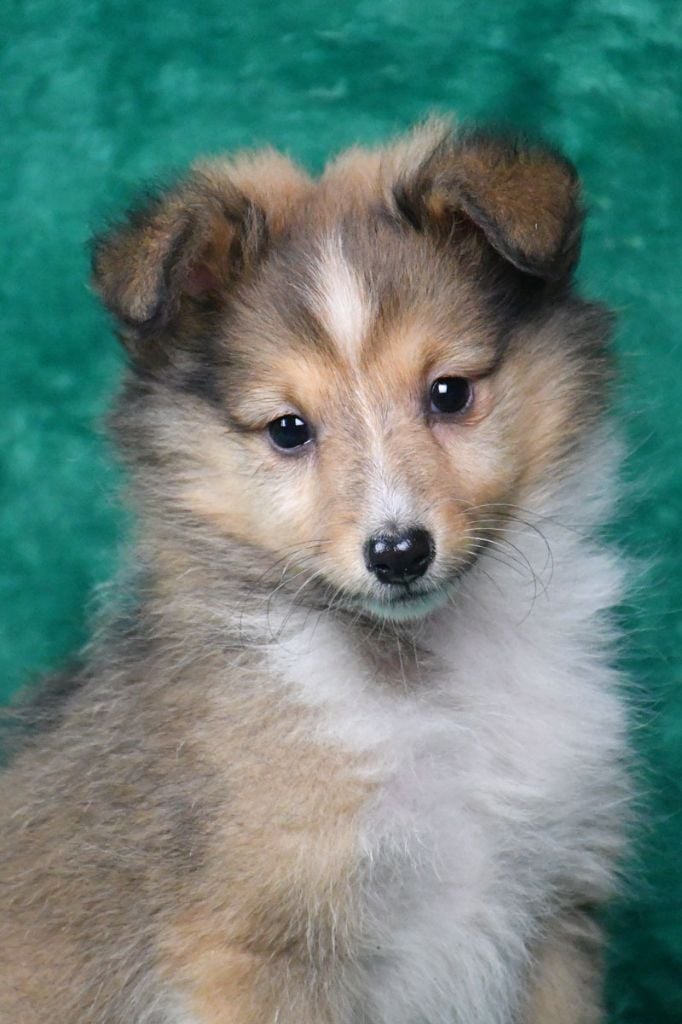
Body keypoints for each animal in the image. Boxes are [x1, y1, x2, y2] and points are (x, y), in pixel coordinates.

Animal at [0, 121, 626, 1024]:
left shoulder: (555, 914)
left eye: (449, 392)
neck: (426, 685)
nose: (399, 552)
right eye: (288, 429)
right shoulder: (262, 945)